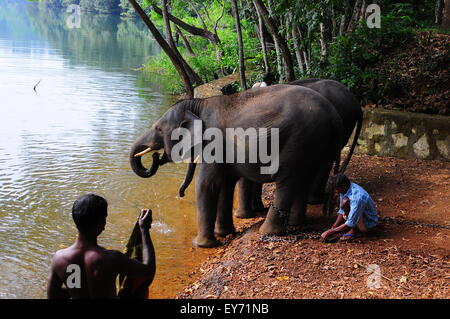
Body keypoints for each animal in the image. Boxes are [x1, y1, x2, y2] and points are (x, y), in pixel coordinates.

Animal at [130, 84, 344, 248]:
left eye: (158, 129)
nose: (155, 157)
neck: (198, 104)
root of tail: (333, 116)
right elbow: (226, 184)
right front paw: (224, 233)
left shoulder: (214, 142)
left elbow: (206, 184)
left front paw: (201, 245)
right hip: (316, 144)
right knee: (305, 177)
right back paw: (296, 223)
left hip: (299, 140)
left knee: (287, 180)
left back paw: (268, 232)